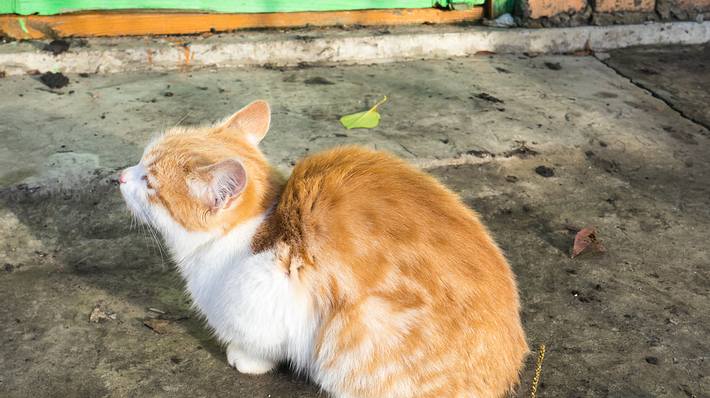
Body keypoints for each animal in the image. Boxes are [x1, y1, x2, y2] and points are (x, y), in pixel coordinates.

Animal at [119, 100, 528, 398]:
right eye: (141, 160)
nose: (121, 176)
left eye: (150, 182)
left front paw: (244, 360)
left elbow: (260, 347)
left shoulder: (264, 296)